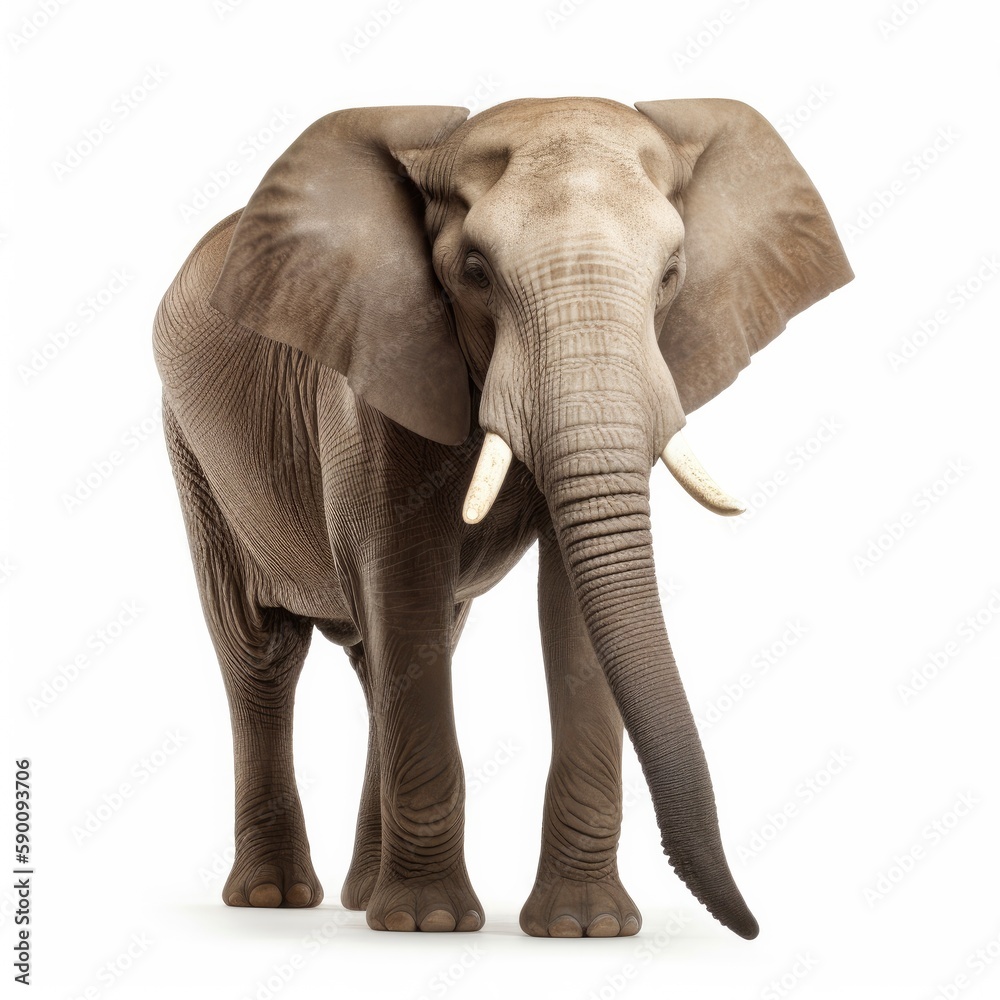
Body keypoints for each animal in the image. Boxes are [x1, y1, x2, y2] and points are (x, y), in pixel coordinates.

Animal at [154, 96, 852, 938]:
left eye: (671, 276)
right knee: (262, 653)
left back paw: (361, 895)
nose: (750, 928)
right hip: (192, 451)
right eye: (475, 274)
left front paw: (585, 930)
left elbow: (571, 607)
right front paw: (427, 924)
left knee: (386, 657)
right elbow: (403, 582)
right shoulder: (373, 369)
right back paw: (275, 898)